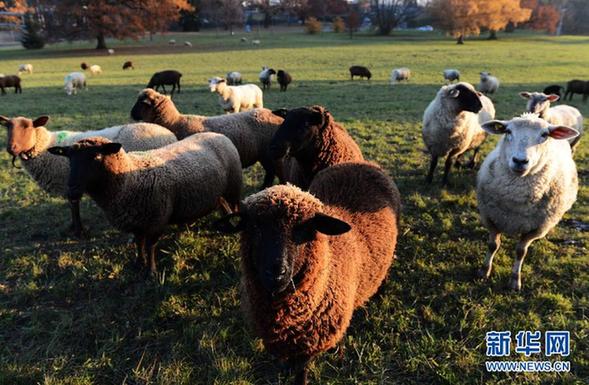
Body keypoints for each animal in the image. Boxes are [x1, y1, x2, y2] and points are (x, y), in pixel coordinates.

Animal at [0, 112, 176, 236]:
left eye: (27, 127)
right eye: (7, 127)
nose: (11, 148)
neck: (44, 148)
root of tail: (169, 134)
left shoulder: (73, 184)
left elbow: (74, 206)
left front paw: (78, 231)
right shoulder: (70, 185)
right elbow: (72, 205)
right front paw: (73, 227)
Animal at [48, 133, 241, 272]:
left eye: (96, 156)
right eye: (69, 158)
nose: (71, 190)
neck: (129, 179)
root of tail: (218, 134)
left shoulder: (156, 221)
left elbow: (150, 246)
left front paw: (151, 271)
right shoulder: (136, 220)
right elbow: (138, 242)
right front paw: (139, 263)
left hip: (233, 187)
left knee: (234, 206)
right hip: (219, 193)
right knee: (223, 205)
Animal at [129, 89, 284, 188]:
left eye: (141, 102)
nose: (131, 114)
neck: (175, 122)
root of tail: (276, 116)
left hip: (269, 154)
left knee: (275, 172)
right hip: (265, 155)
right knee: (270, 172)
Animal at [214, 160, 402, 384]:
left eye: (303, 229)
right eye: (254, 227)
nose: (275, 273)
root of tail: (363, 163)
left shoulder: (310, 341)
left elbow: (302, 369)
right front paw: (285, 368)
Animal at [476, 112, 576, 290]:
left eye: (544, 135)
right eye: (508, 131)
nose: (520, 161)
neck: (515, 199)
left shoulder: (536, 229)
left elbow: (520, 252)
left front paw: (515, 280)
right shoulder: (490, 218)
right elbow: (493, 245)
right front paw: (484, 271)